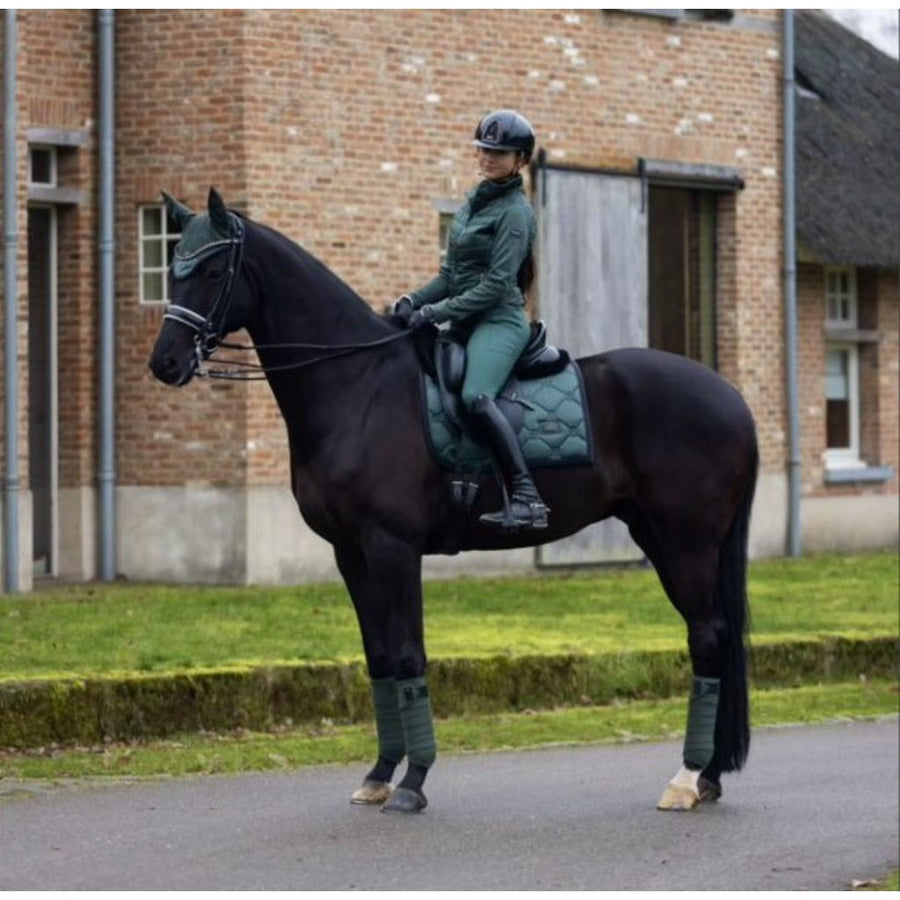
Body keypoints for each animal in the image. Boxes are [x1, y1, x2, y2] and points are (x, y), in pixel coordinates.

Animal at [149, 190, 760, 816]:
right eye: (173, 268)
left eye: (214, 271)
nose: (164, 363)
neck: (357, 384)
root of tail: (731, 398)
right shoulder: (351, 553)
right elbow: (380, 659)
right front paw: (380, 773)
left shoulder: (392, 549)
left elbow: (409, 656)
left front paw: (413, 781)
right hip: (660, 537)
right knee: (714, 637)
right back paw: (707, 777)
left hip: (685, 544)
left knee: (708, 636)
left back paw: (688, 778)